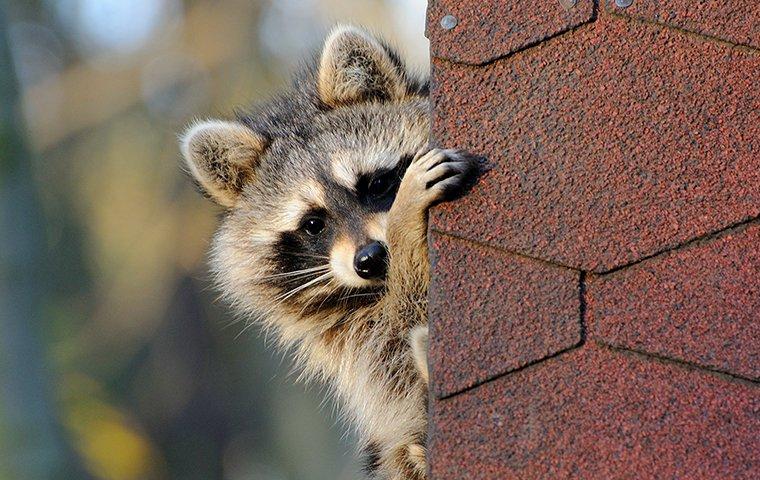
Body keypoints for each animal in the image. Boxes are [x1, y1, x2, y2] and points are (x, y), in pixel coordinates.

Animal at [180, 27, 476, 480]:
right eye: (313, 224)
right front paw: (406, 228)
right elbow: (396, 348)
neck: (373, 290)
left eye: (376, 184)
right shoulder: (355, 342)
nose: (372, 258)